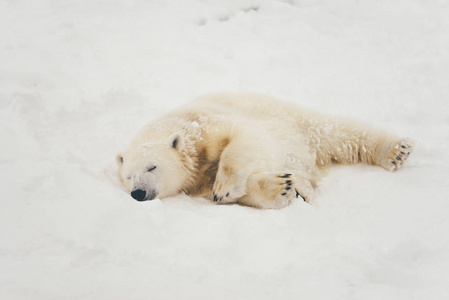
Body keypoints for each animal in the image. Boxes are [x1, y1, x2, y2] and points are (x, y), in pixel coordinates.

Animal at [116, 93, 412, 209]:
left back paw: (395, 150)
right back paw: (301, 188)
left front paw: (224, 187)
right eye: (128, 177)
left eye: (152, 166)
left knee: (340, 132)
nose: (138, 193)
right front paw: (282, 189)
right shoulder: (197, 179)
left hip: (296, 121)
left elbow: (246, 138)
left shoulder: (208, 125)